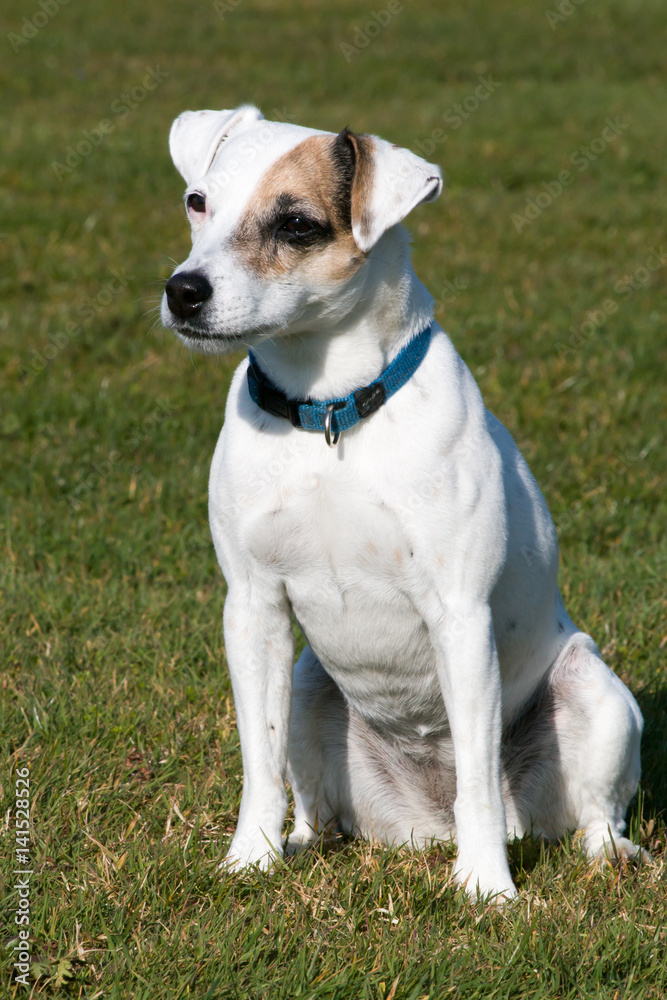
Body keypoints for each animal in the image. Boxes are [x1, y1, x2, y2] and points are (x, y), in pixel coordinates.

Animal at [159, 103, 644, 900]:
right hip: (308, 686)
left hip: (594, 695)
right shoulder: (252, 609)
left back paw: (602, 853)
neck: (327, 409)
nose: (183, 291)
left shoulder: (460, 617)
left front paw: (487, 888)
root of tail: (425, 822)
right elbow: (258, 762)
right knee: (313, 801)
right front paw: (247, 860)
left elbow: (477, 777)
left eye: (297, 225)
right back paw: (299, 841)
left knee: (589, 812)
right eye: (197, 202)